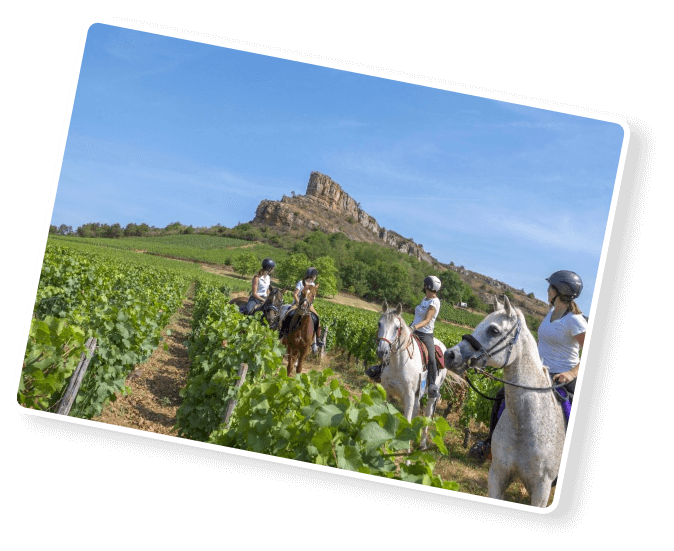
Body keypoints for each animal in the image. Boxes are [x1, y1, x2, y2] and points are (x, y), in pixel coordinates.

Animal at [376, 302, 448, 452]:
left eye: (397, 328)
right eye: (379, 324)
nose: (382, 352)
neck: (398, 364)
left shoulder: (408, 395)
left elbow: (407, 419)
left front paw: (404, 447)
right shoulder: (386, 390)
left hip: (432, 395)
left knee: (427, 415)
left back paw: (422, 444)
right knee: (416, 411)